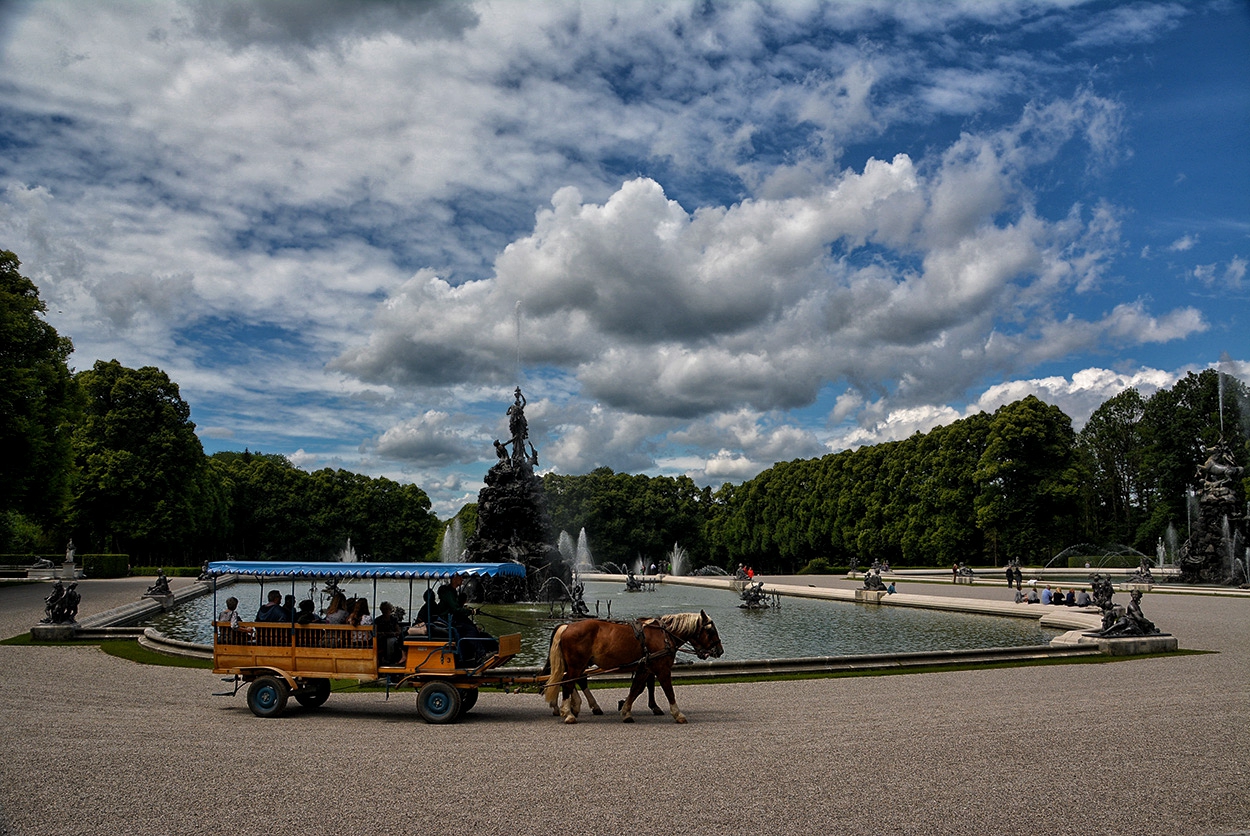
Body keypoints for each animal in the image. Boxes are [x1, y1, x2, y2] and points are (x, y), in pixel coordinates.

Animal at [545, 609, 730, 719]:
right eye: (711, 630)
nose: (720, 650)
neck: (664, 634)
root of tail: (567, 626)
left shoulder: (645, 668)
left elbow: (636, 688)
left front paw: (626, 710)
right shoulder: (662, 669)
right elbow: (668, 691)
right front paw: (677, 713)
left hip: (579, 664)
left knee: (573, 680)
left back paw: (576, 707)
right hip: (576, 664)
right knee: (568, 682)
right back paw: (567, 712)